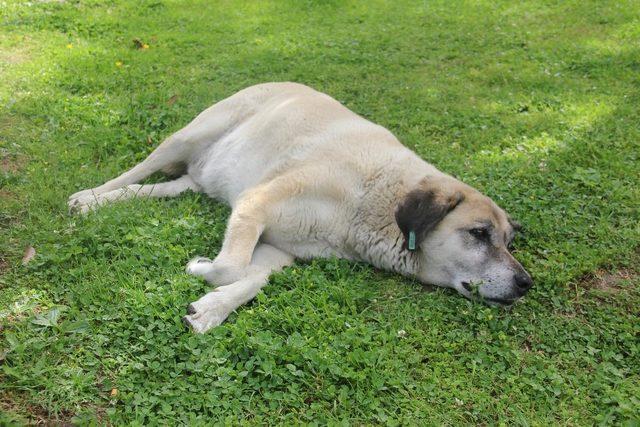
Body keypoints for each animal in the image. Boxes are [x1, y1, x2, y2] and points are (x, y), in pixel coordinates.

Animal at [67, 82, 532, 332]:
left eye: (508, 242)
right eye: (479, 234)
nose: (527, 283)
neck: (374, 196)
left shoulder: (281, 249)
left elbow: (251, 279)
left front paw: (211, 309)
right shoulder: (255, 203)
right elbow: (231, 267)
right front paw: (201, 267)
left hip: (195, 177)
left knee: (159, 190)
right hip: (185, 138)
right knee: (133, 173)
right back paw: (89, 199)